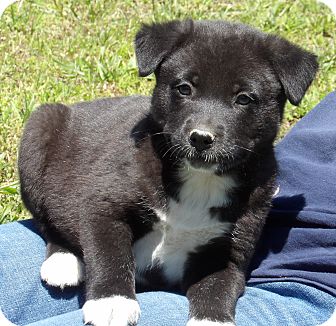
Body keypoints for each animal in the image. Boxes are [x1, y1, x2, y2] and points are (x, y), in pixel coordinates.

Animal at [18, 21, 318, 326]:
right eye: (184, 88)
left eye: (244, 98)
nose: (201, 138)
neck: (201, 181)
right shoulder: (103, 206)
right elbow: (109, 254)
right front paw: (112, 303)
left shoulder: (230, 250)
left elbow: (217, 288)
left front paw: (211, 319)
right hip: (37, 135)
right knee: (47, 221)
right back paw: (63, 262)